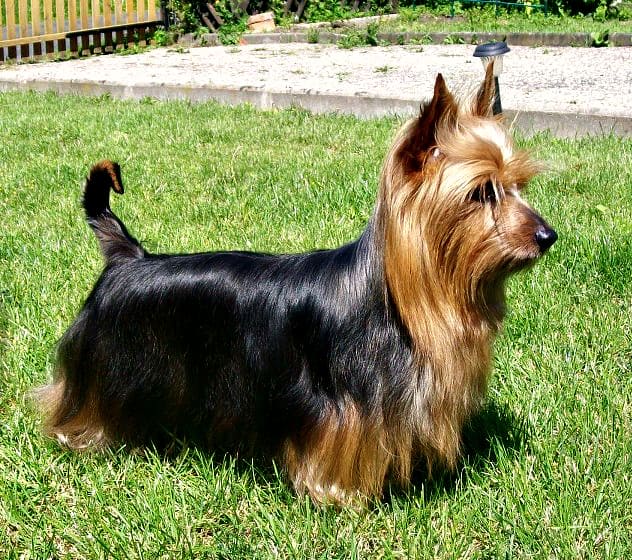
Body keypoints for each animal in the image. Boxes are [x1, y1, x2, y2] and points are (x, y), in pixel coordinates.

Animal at [37, 68, 556, 506]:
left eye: (517, 185)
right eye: (481, 192)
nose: (547, 235)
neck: (393, 304)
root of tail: (127, 256)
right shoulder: (338, 414)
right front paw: (338, 496)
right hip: (108, 365)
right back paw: (81, 435)